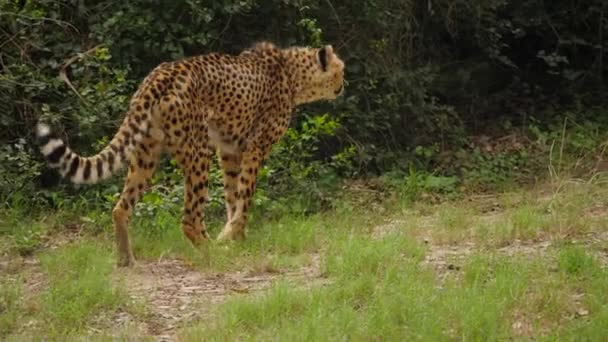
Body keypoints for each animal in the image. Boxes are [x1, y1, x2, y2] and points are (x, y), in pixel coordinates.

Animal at [35, 42, 344, 268]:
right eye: (340, 69)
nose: (344, 84)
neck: (293, 73)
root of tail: (160, 75)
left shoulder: (229, 150)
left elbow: (233, 195)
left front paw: (235, 236)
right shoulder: (254, 148)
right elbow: (245, 196)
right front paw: (233, 236)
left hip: (146, 154)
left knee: (121, 208)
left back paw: (126, 259)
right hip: (198, 152)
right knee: (190, 217)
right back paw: (212, 251)